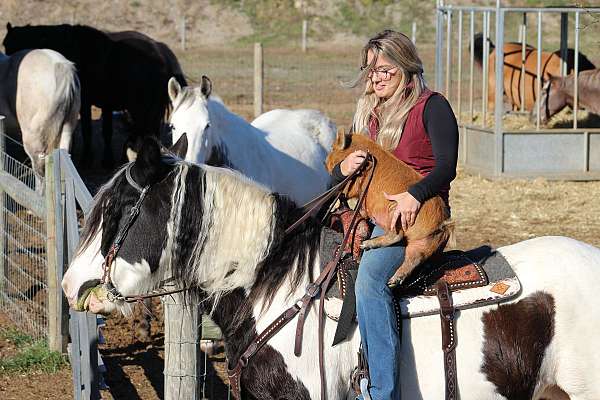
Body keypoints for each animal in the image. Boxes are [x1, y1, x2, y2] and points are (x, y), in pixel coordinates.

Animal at [2, 23, 188, 167]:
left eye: (9, 45)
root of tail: (161, 52)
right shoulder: (104, 104)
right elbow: (102, 131)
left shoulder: (90, 103)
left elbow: (91, 130)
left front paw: (92, 159)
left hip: (141, 108)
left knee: (143, 131)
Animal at [326, 130, 452, 286]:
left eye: (332, 148)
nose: (325, 161)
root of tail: (444, 224)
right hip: (424, 242)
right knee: (414, 258)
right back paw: (393, 281)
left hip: (395, 210)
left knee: (397, 235)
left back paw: (366, 245)